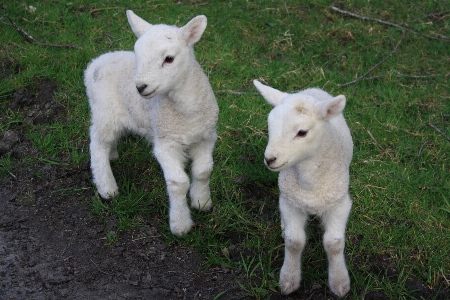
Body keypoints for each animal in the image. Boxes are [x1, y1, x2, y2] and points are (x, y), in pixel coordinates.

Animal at [85, 10, 220, 237]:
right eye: (137, 55)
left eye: (169, 59)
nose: (140, 87)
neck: (186, 111)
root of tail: (95, 62)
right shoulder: (165, 142)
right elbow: (178, 182)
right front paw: (180, 224)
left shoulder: (206, 137)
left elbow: (203, 171)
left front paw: (202, 202)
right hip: (105, 112)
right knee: (97, 145)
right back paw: (107, 187)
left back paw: (113, 155)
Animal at [253, 80, 356, 298]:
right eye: (270, 125)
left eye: (302, 132)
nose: (270, 159)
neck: (310, 184)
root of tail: (311, 89)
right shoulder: (291, 203)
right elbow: (294, 242)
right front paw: (289, 279)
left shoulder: (340, 203)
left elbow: (334, 243)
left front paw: (339, 282)